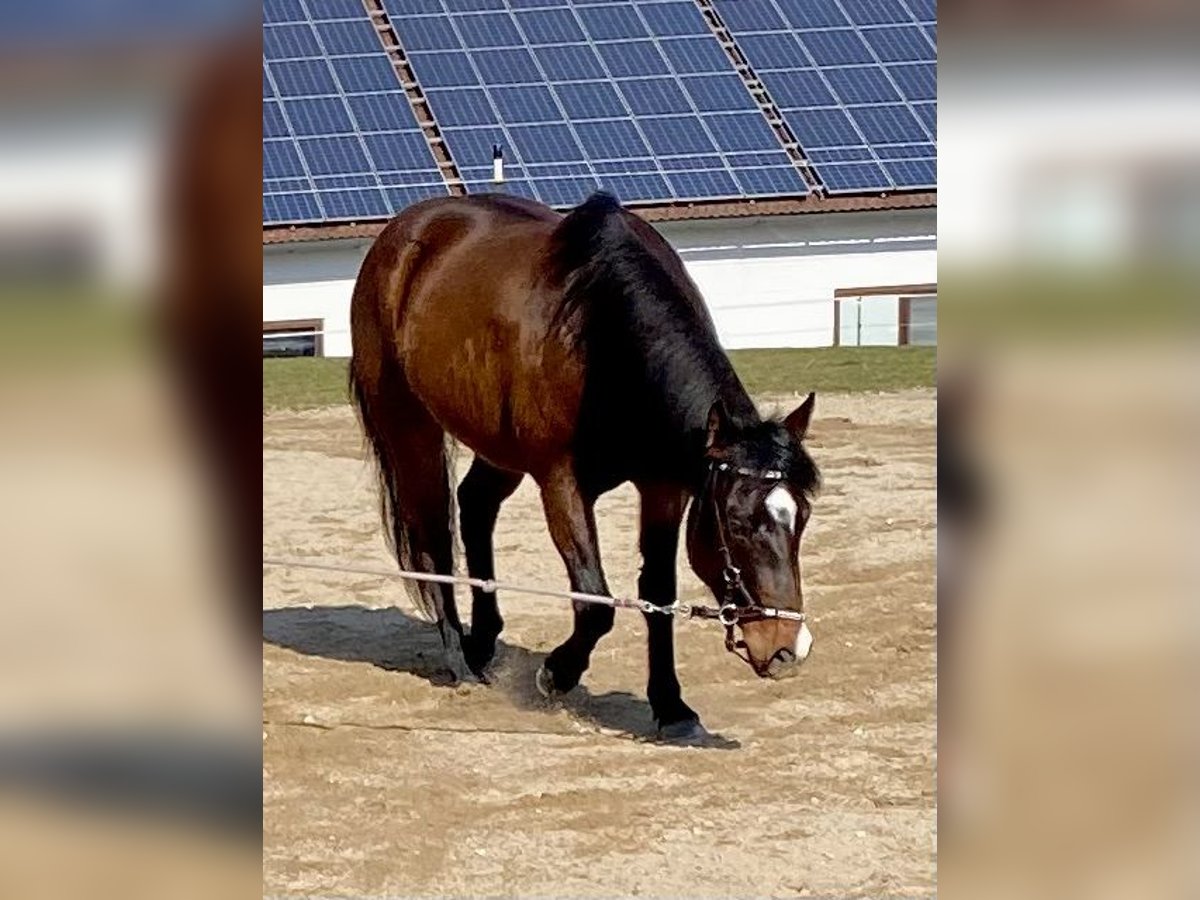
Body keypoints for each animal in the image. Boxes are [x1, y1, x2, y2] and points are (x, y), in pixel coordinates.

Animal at [349, 192, 818, 743]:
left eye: (801, 519)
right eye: (740, 524)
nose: (787, 648)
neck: (601, 337)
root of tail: (403, 233)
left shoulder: (664, 488)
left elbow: (658, 594)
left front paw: (671, 706)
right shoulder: (561, 483)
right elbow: (595, 602)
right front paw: (557, 673)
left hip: (497, 449)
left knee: (475, 507)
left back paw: (482, 641)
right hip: (411, 429)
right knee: (433, 541)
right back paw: (460, 660)